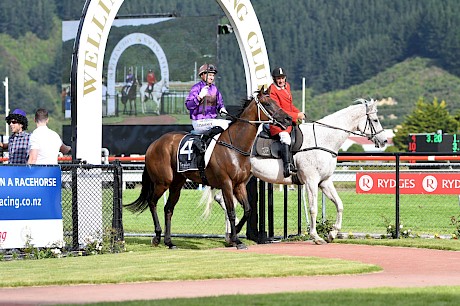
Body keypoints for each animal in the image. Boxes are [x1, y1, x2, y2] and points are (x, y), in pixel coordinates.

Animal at [203, 99, 386, 245]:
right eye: (375, 120)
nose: (384, 141)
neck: (323, 138)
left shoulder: (325, 182)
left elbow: (339, 204)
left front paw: (332, 233)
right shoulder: (311, 182)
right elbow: (313, 208)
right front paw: (315, 236)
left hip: (239, 180)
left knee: (224, 200)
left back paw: (229, 235)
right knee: (226, 202)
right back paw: (231, 235)